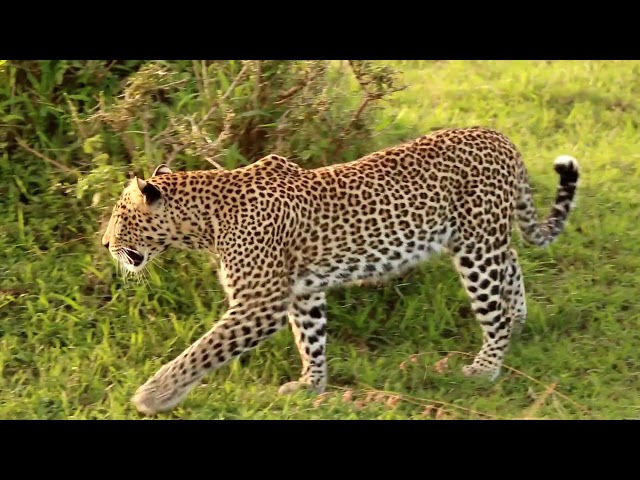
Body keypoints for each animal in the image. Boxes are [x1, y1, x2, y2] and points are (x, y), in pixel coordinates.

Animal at [101, 126, 579, 416]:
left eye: (120, 218)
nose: (105, 244)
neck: (205, 220)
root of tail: (502, 138)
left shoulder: (260, 303)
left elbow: (203, 350)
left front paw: (154, 394)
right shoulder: (302, 292)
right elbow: (310, 339)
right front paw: (312, 385)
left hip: (476, 249)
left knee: (493, 310)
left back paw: (485, 367)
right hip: (482, 239)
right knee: (512, 267)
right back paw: (519, 322)